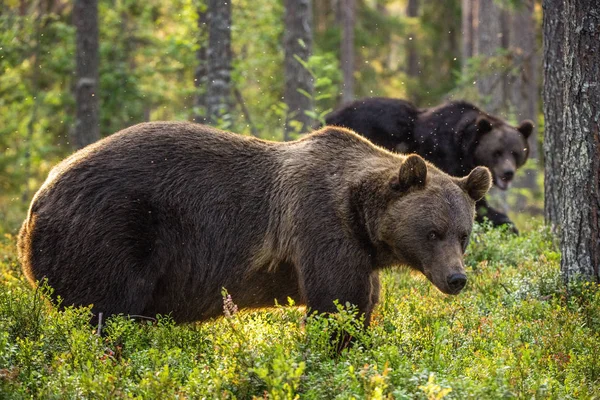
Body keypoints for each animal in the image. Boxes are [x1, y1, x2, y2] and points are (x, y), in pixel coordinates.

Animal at [16, 123, 490, 326]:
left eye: (463, 234)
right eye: (433, 232)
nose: (456, 278)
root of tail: (37, 200)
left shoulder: (359, 254)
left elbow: (360, 305)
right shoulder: (320, 227)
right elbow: (336, 303)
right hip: (110, 230)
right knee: (108, 310)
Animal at [326, 97, 532, 233]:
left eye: (515, 152)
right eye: (497, 152)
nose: (508, 173)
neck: (464, 148)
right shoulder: (446, 156)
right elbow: (475, 204)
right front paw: (508, 225)